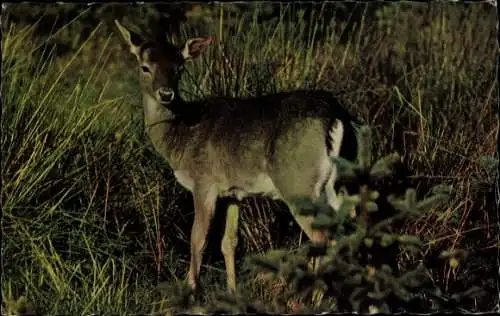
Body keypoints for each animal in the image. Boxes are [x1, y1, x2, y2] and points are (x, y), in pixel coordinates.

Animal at [114, 19, 360, 296]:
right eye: (145, 67)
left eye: (179, 69)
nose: (166, 94)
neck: (181, 139)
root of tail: (337, 116)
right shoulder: (234, 191)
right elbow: (229, 241)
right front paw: (232, 291)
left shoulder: (204, 182)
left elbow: (197, 240)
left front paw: (190, 289)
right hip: (341, 184)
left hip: (298, 182)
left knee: (322, 238)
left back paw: (316, 298)